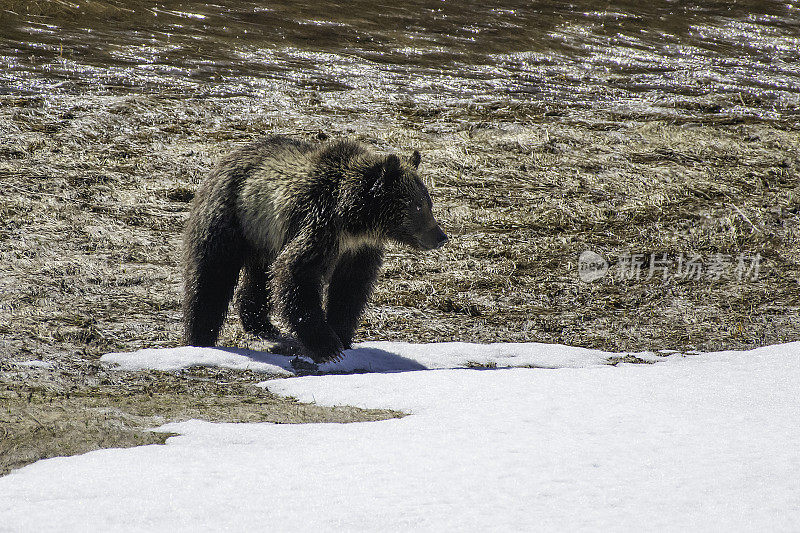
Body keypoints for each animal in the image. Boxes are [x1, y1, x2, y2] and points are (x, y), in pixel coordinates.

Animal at [182, 135, 450, 364]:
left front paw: (342, 336)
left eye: (428, 203)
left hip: (263, 237)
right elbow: (296, 272)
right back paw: (199, 336)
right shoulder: (320, 225)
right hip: (230, 217)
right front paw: (328, 347)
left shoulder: (358, 250)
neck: (354, 223)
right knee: (211, 277)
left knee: (259, 279)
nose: (441, 237)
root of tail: (226, 158)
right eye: (417, 206)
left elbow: (350, 288)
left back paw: (261, 324)